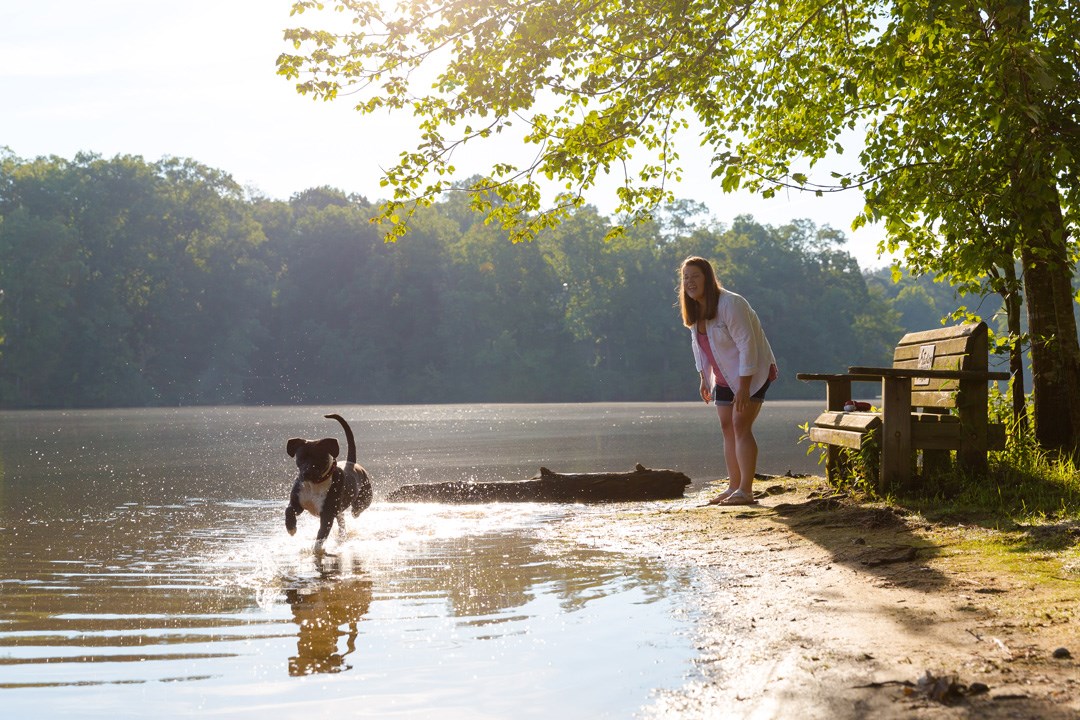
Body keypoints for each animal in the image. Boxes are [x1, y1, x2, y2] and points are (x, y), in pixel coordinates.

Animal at [285, 414, 373, 557]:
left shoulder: (327, 514)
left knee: (357, 509)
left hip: (365, 497)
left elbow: (321, 534)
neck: (314, 484)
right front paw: (291, 527)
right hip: (339, 512)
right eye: (301, 458)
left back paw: (355, 512)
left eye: (319, 458)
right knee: (342, 522)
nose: (307, 473)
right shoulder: (297, 503)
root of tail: (352, 463)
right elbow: (289, 510)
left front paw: (317, 550)